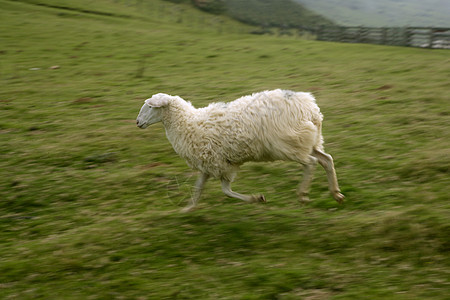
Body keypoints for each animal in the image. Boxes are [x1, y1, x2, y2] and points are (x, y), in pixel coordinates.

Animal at [135, 89, 342, 211]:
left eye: (150, 107)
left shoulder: (220, 164)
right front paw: (188, 209)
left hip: (290, 145)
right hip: (308, 141)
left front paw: (256, 198)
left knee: (311, 163)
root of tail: (310, 108)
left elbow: (226, 190)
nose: (137, 122)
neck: (187, 123)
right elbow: (199, 188)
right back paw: (336, 194)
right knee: (326, 159)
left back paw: (303, 195)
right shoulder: (209, 164)